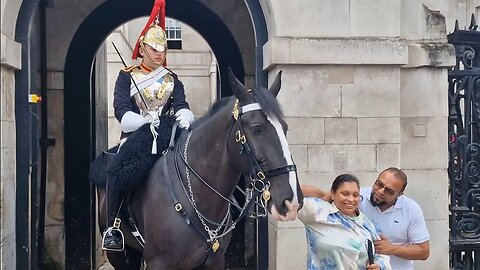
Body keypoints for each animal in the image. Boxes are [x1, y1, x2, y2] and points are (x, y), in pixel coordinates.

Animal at [92, 70, 304, 270]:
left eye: (285, 128)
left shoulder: (215, 262)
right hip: (118, 254)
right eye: (256, 129)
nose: (291, 201)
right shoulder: (159, 263)